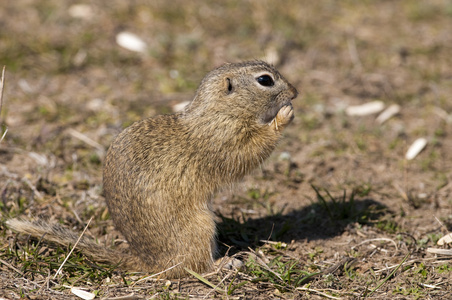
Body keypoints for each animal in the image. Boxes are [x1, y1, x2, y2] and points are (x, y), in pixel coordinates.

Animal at [7, 60, 298, 278]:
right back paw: (223, 264)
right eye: (265, 80)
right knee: (194, 267)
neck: (220, 110)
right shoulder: (226, 140)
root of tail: (148, 262)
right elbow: (251, 151)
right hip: (200, 226)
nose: (295, 92)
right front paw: (284, 115)